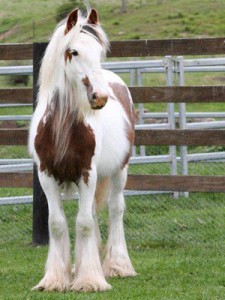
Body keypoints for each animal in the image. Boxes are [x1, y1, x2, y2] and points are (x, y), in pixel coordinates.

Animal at [28, 8, 137, 292]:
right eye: (74, 51)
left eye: (99, 51)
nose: (100, 97)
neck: (62, 127)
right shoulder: (47, 175)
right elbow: (57, 224)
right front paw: (55, 279)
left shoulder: (87, 174)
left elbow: (84, 223)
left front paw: (89, 280)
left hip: (119, 171)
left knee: (115, 209)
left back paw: (117, 265)